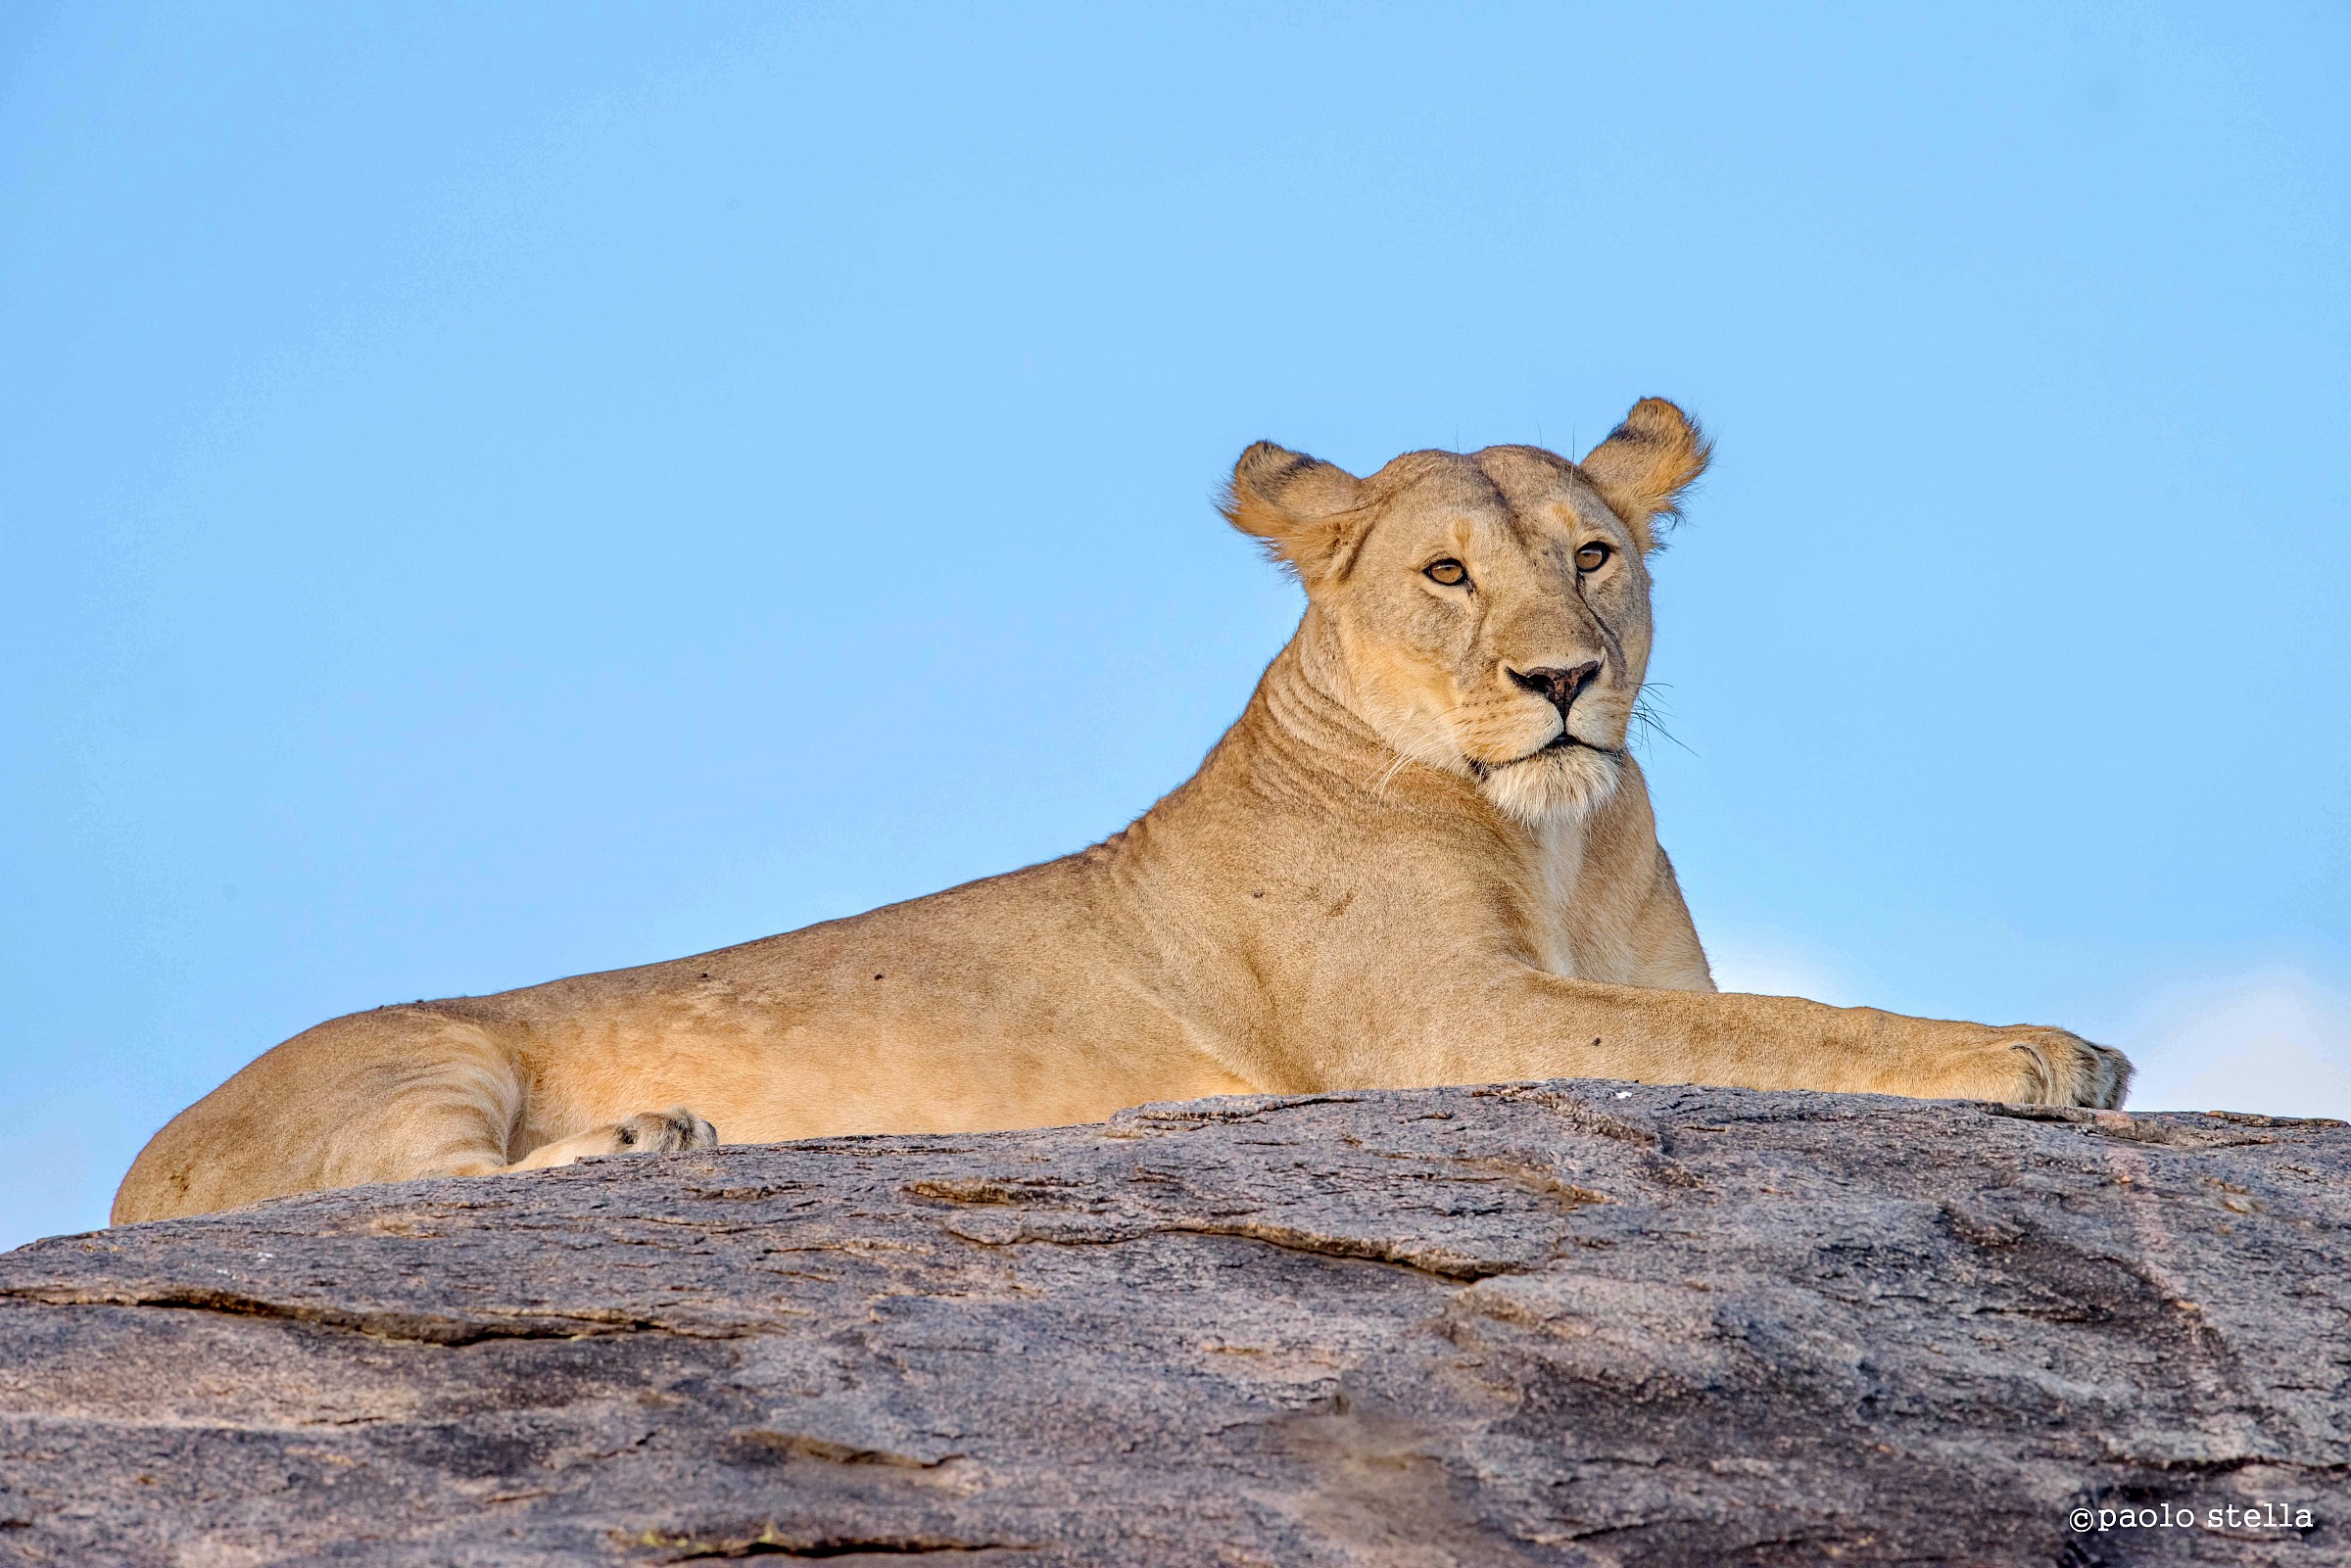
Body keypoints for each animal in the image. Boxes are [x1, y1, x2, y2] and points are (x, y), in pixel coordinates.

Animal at [113, 398, 2130, 1224]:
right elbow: (1782, 1027)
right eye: (1449, 574)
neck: (1556, 833)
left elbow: (1750, 1012)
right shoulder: (1447, 1032)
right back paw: (644, 1140)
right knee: (373, 1189)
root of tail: (137, 1160)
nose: (1564, 683)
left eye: (1595, 555)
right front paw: (2035, 1053)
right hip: (426, 1056)